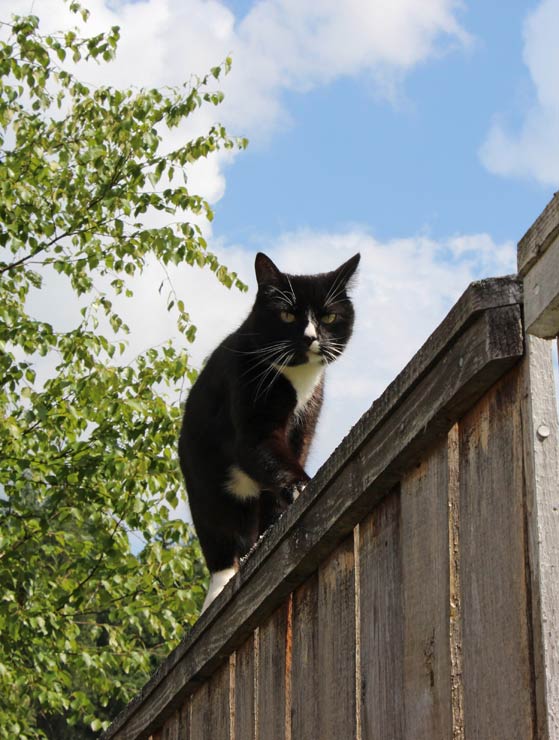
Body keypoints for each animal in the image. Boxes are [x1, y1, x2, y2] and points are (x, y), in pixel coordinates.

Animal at [180, 251, 364, 608]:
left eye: (329, 316)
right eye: (287, 314)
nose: (311, 337)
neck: (297, 379)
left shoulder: (306, 422)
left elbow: (291, 457)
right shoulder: (246, 398)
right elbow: (260, 449)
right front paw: (302, 485)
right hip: (202, 478)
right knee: (219, 536)